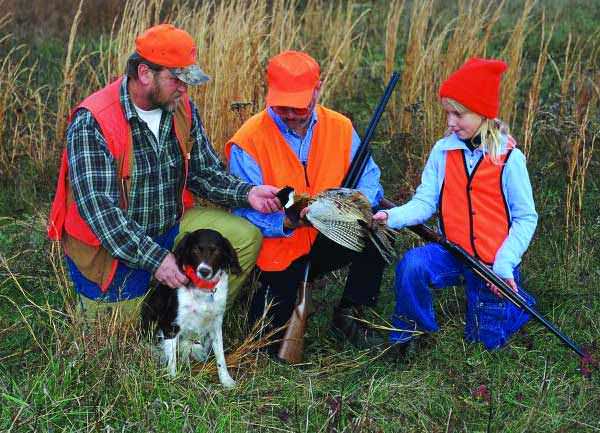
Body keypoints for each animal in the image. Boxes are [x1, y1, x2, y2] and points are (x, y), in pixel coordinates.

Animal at [141, 228, 241, 386]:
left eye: (216, 251)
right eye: (195, 250)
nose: (204, 271)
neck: (203, 290)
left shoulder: (216, 325)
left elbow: (221, 357)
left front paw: (226, 380)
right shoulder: (170, 325)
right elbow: (172, 361)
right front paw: (172, 379)